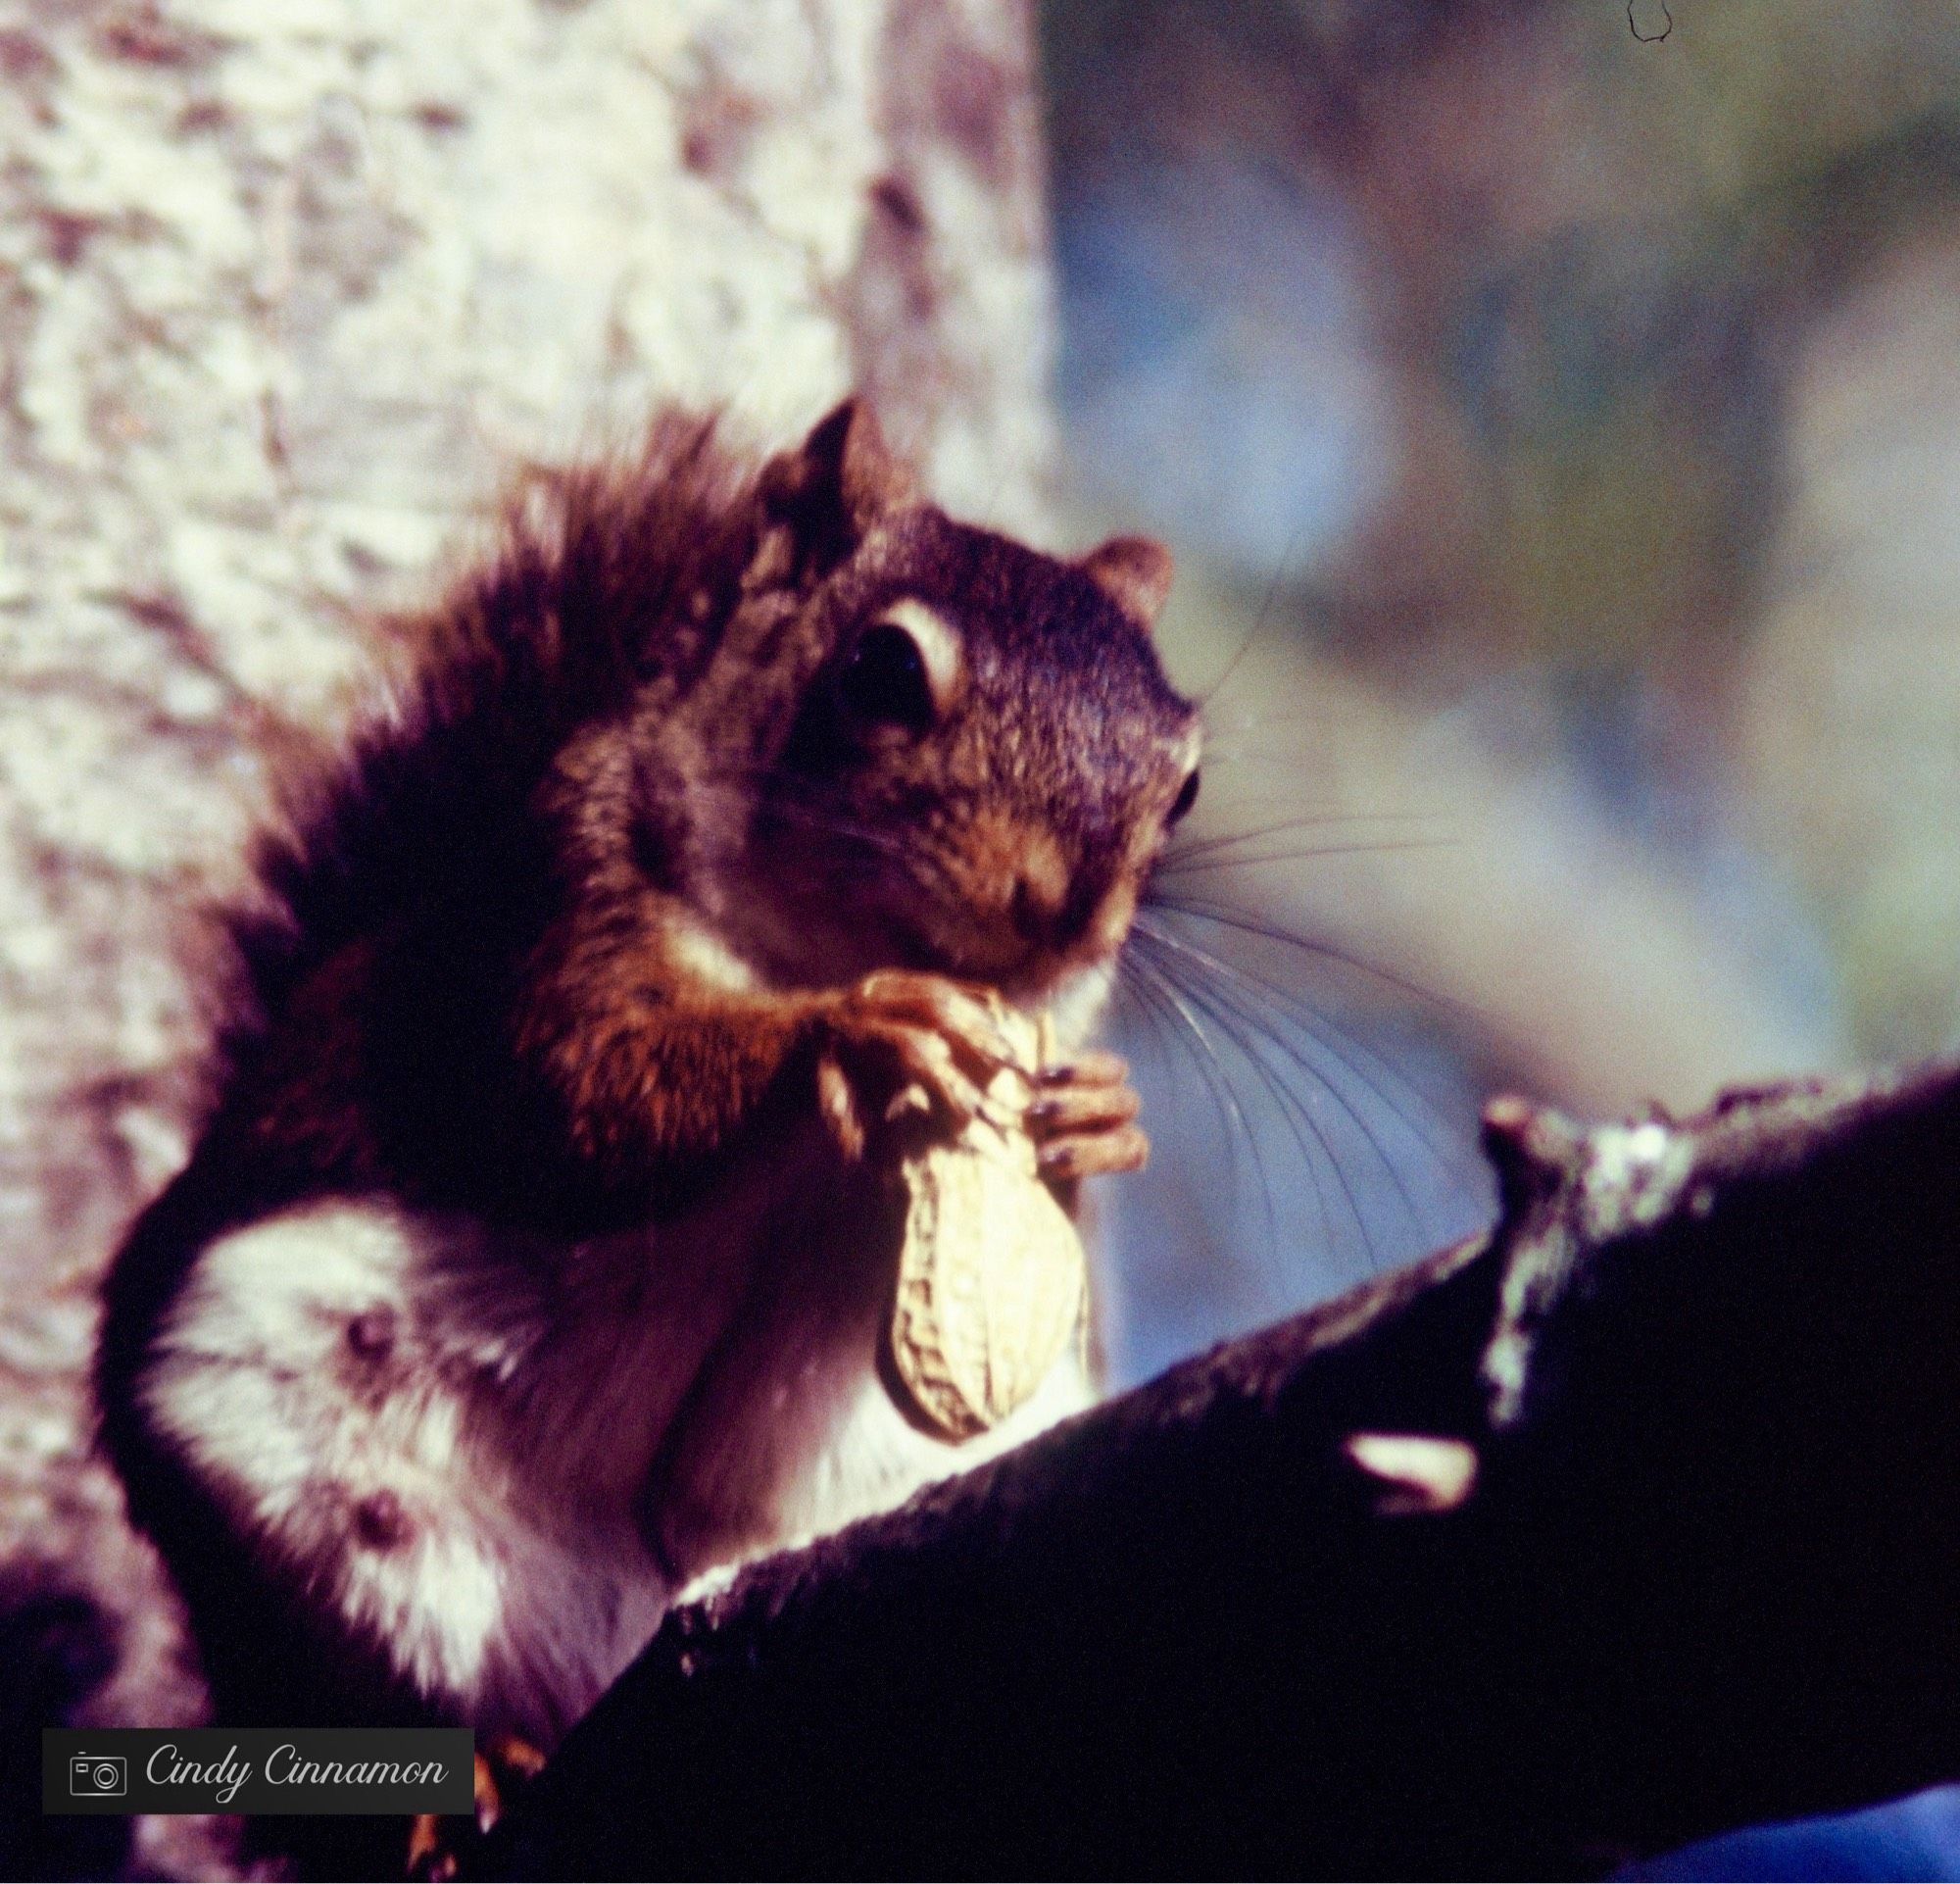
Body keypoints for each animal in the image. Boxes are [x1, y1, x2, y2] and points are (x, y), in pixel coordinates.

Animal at [99, 394, 1200, 1780]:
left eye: (1185, 784)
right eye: (882, 672)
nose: (1064, 907)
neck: (811, 947)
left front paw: (1101, 1122)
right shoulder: (560, 911)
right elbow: (584, 1088)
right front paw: (858, 1033)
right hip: (317, 1486)